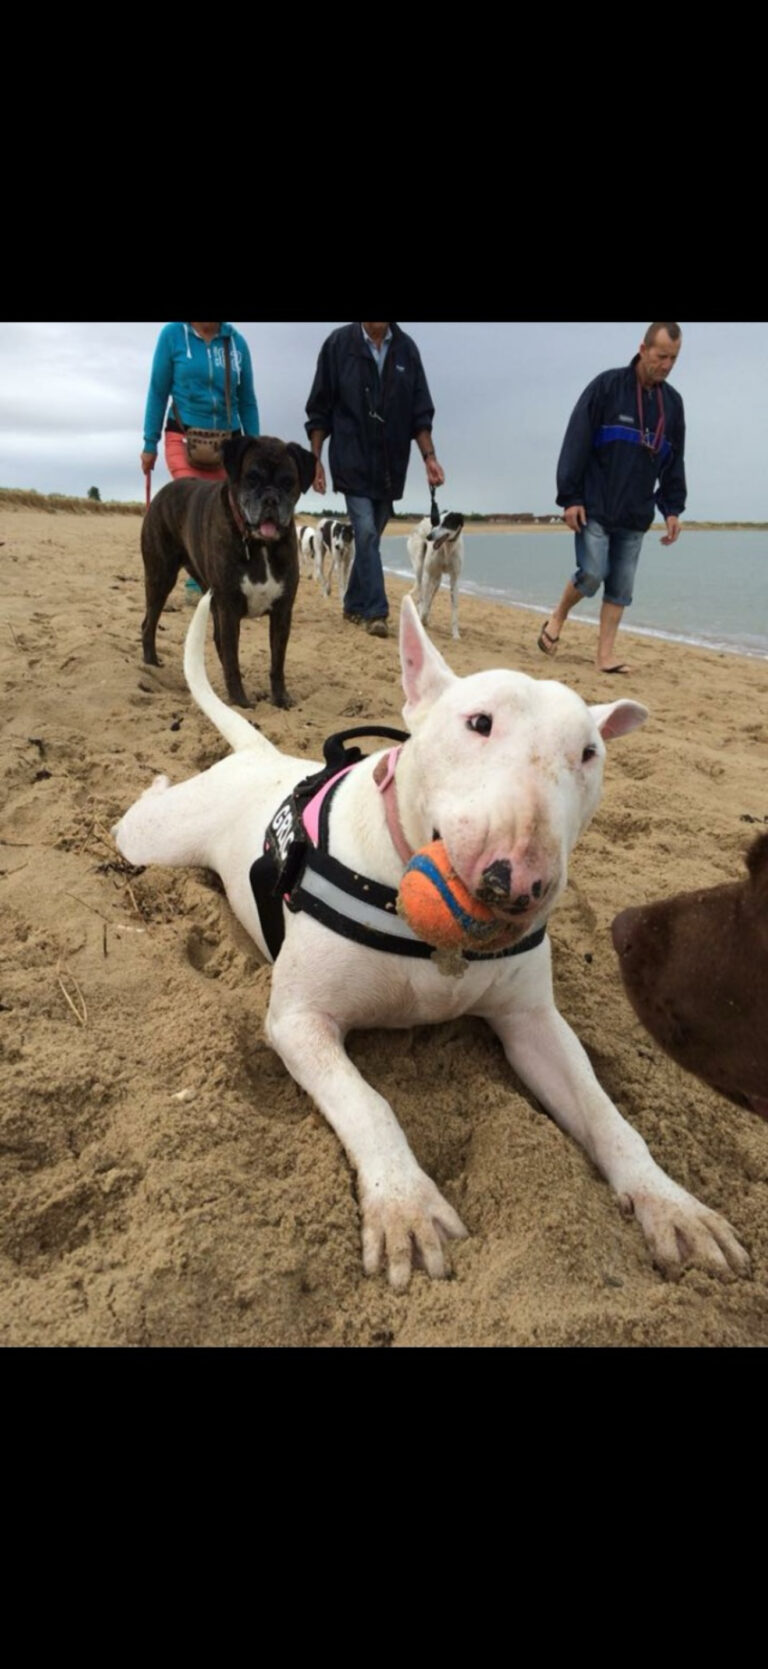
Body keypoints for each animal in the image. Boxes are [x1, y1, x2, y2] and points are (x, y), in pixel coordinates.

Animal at [114, 593, 749, 1290]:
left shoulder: (532, 1020)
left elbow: (604, 1112)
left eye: (589, 753)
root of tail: (264, 756)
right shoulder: (299, 1020)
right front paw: (405, 1206)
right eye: (479, 723)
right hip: (152, 838)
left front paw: (672, 1204)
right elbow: (368, 1102)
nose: (519, 881)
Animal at [141, 434, 316, 709]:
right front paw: (240, 700)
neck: (259, 544)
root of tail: (161, 493)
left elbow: (277, 661)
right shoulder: (229, 609)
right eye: (252, 478)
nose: (270, 499)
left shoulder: (282, 612)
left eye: (288, 482)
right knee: (150, 623)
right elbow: (232, 658)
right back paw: (151, 664)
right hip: (160, 578)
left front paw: (280, 698)